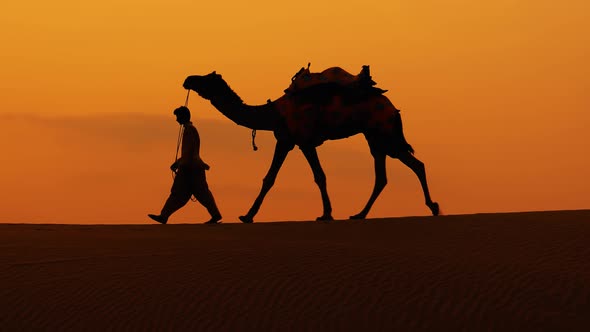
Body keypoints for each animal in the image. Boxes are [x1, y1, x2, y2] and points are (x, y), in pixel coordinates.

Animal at [184, 69, 440, 223]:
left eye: (205, 79)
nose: (188, 79)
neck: (274, 113)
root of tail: (393, 108)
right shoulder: (286, 140)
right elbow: (269, 178)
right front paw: (247, 215)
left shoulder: (303, 140)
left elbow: (319, 176)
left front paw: (326, 214)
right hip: (375, 137)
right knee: (388, 174)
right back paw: (360, 214)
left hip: (384, 132)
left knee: (413, 165)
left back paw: (433, 207)